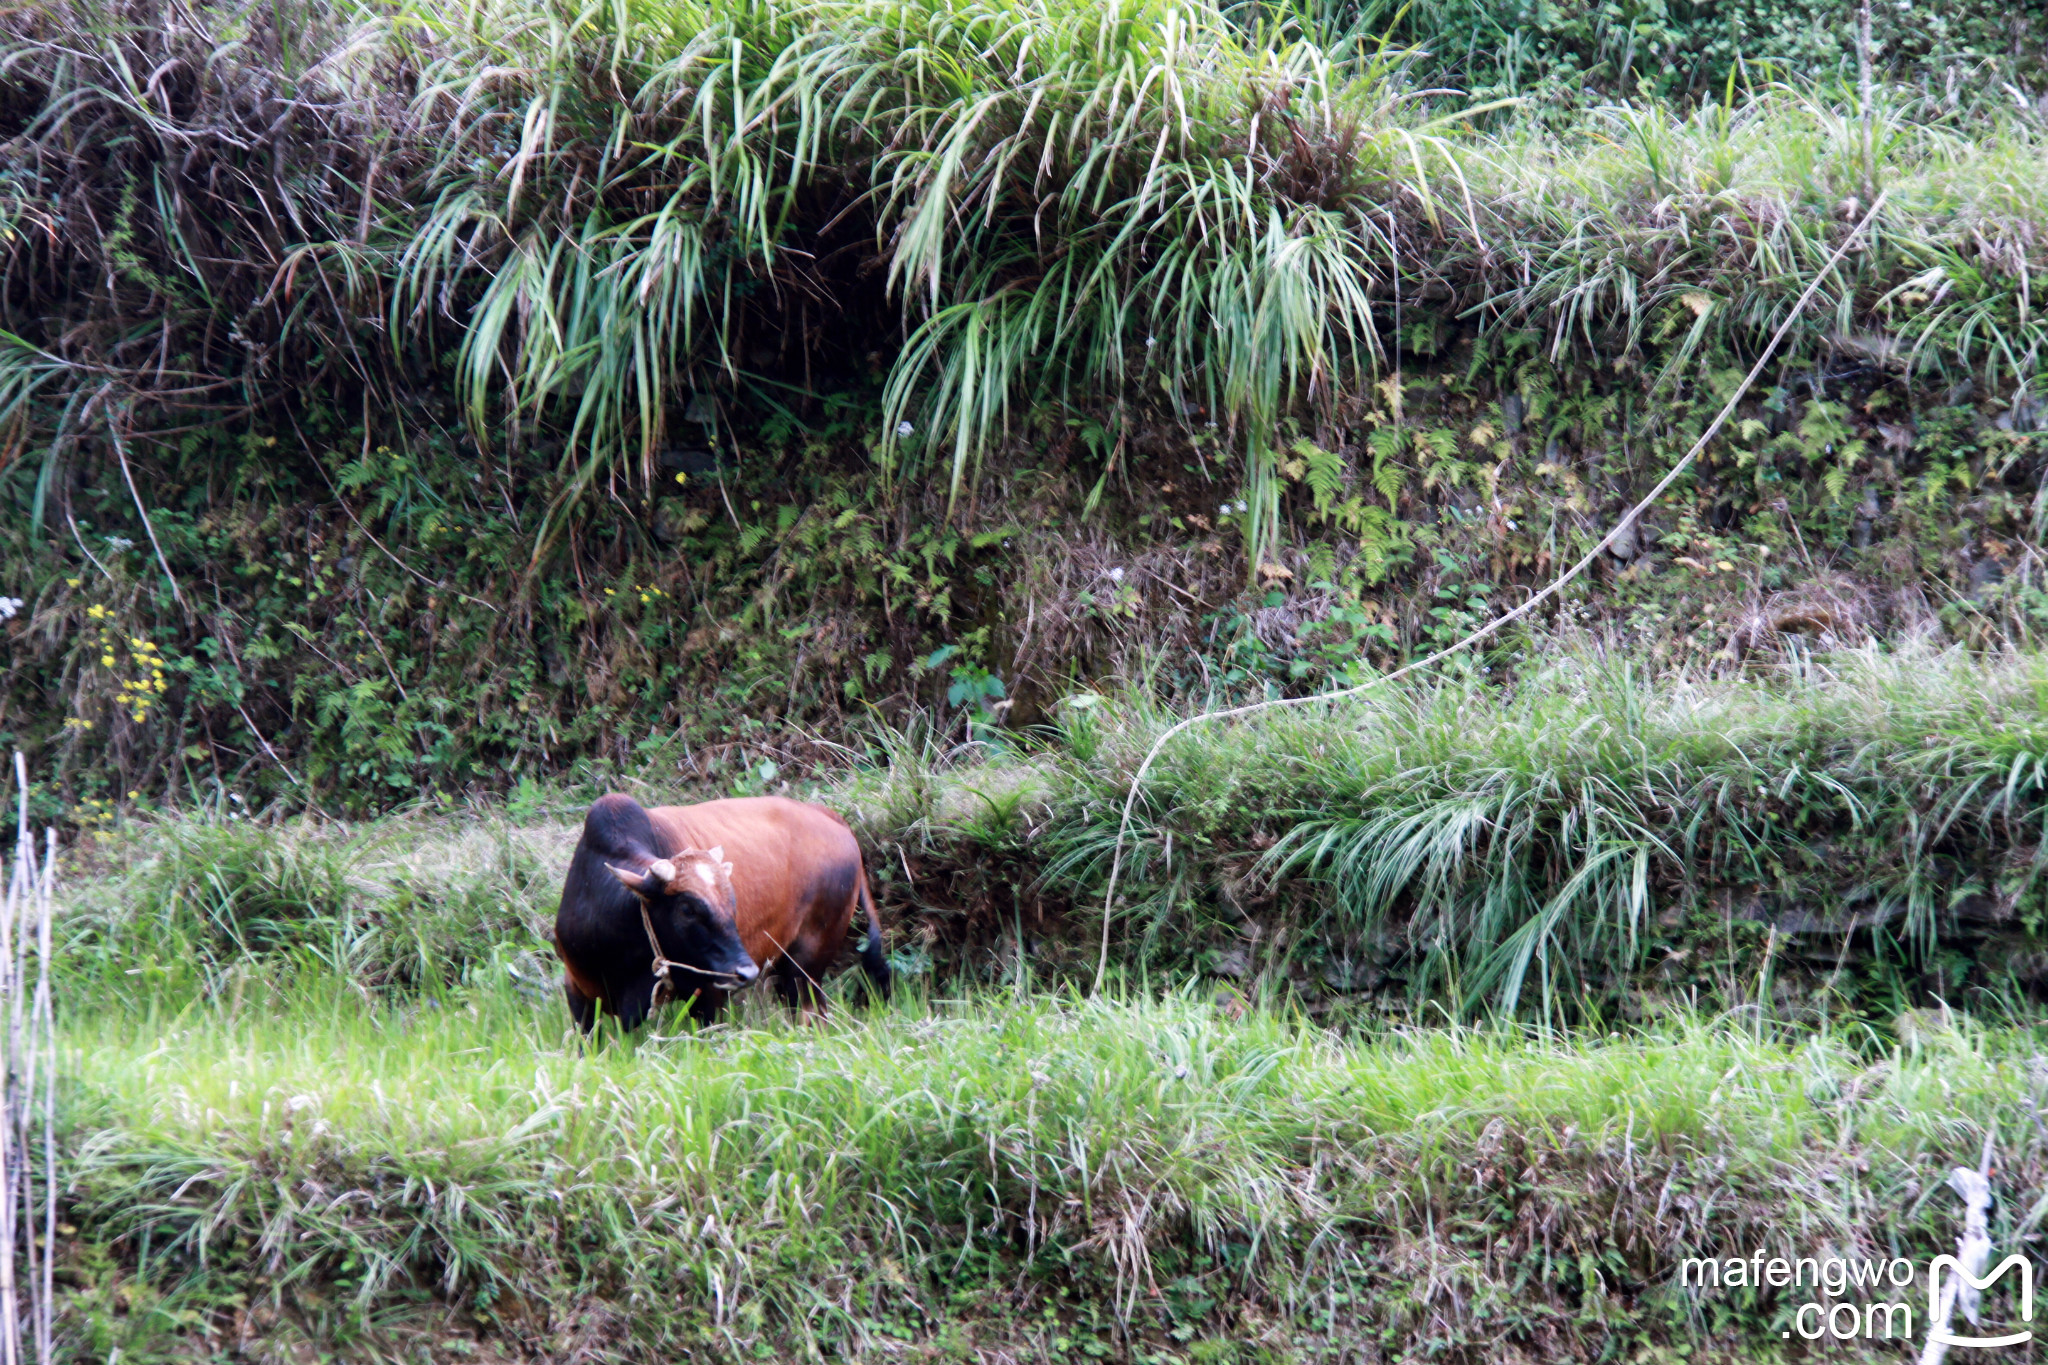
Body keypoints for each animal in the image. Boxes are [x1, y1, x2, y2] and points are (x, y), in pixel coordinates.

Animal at [552, 785, 888, 1031]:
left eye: (732, 902)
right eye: (687, 909)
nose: (746, 972)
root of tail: (830, 817)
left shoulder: (709, 997)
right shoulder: (577, 994)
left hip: (806, 966)